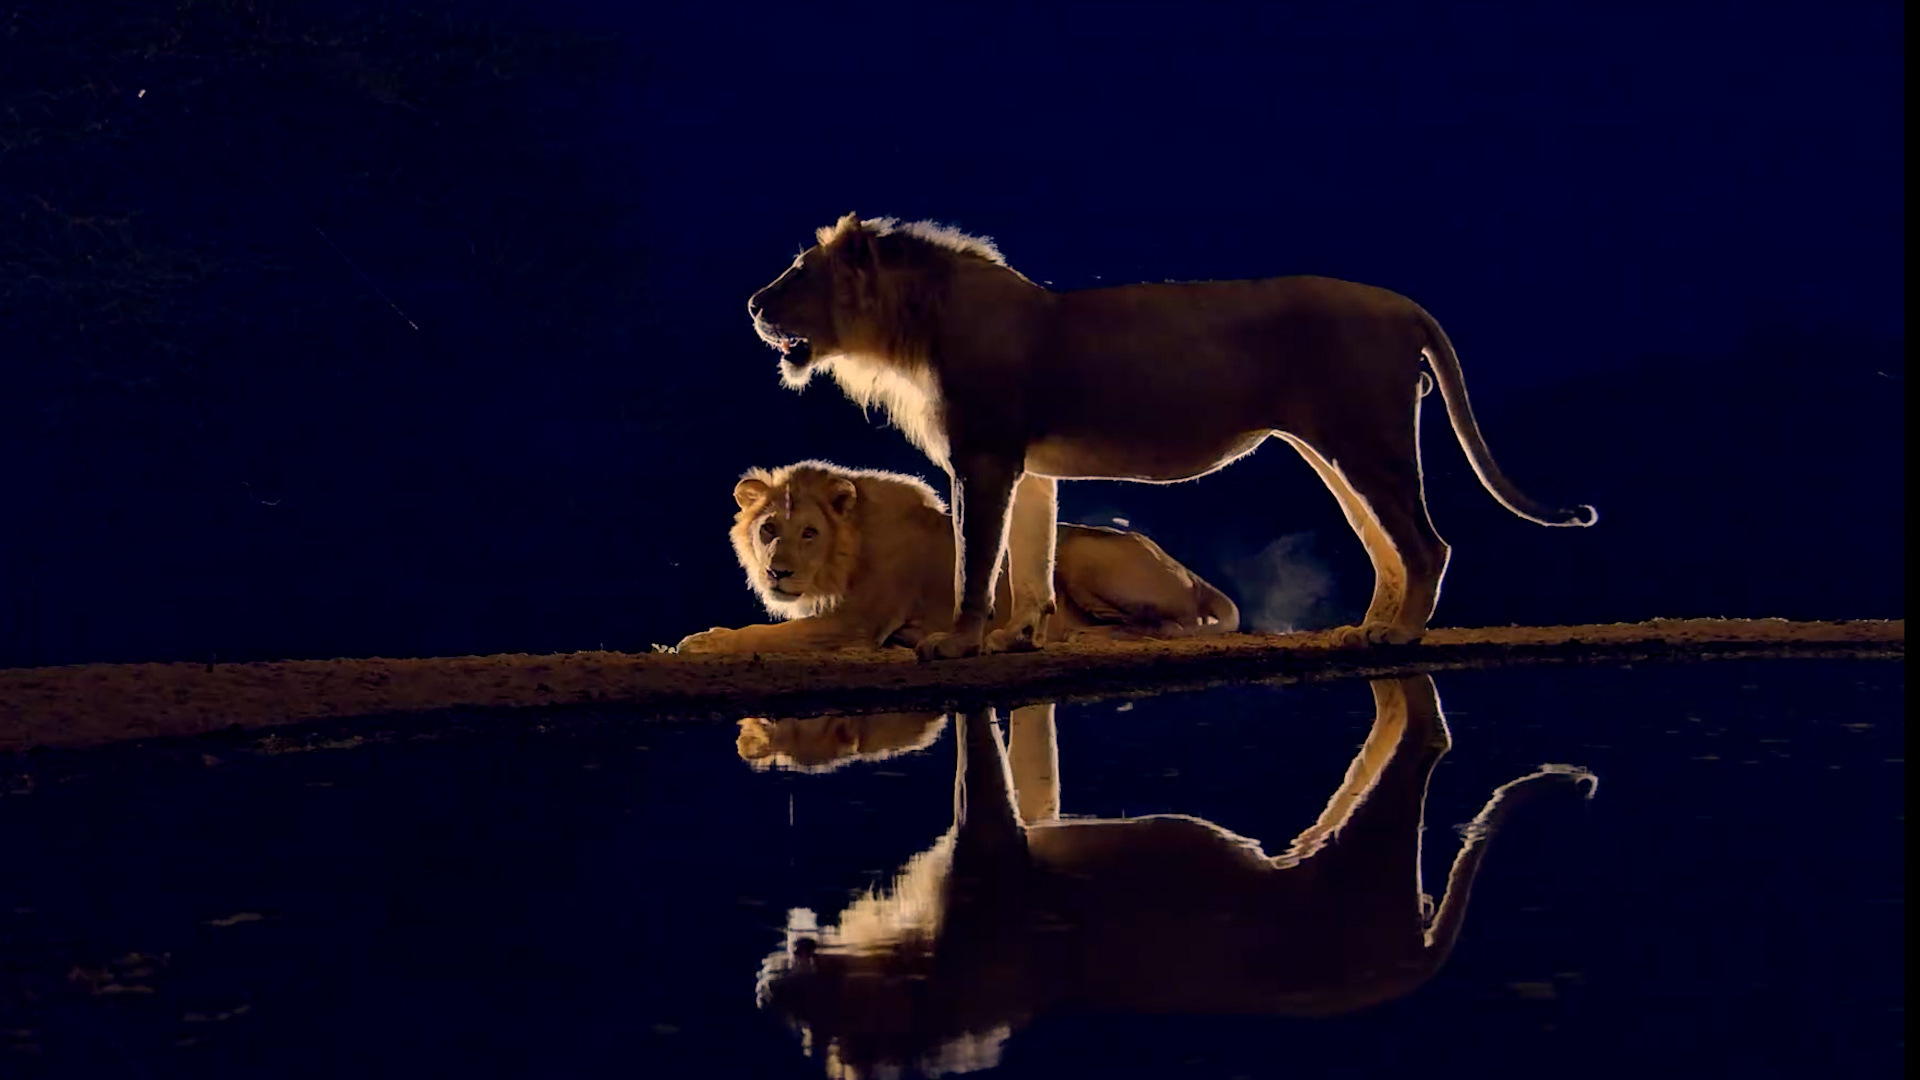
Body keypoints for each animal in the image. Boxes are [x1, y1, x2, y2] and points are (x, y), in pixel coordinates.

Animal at [674, 460, 1237, 655]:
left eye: (810, 533)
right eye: (768, 529)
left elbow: (764, 635)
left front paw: (705, 640)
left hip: (1081, 554)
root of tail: (1189, 572)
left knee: (1169, 627)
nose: (777, 571)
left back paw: (1083, 636)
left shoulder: (856, 622)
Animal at [745, 214, 1598, 661]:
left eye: (799, 272)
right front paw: (1023, 633)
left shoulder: (983, 457)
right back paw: (1371, 628)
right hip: (1339, 452)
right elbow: (1029, 560)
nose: (753, 304)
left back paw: (1401, 637)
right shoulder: (1031, 469)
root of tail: (1406, 304)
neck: (909, 331)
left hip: (1368, 443)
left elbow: (975, 561)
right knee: (1389, 546)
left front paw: (958, 641)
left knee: (1428, 544)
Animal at [754, 679, 1599, 1078]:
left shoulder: (991, 853)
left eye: (815, 1039)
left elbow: (981, 776)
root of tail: (1419, 958)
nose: (765, 996)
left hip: (1367, 855)